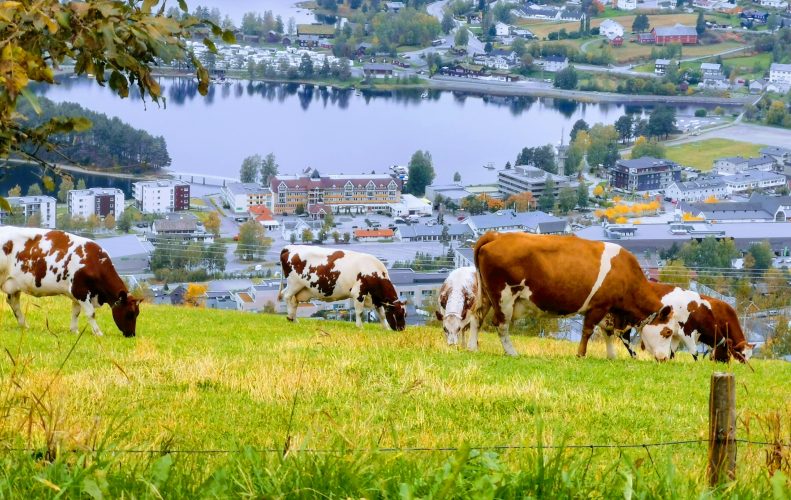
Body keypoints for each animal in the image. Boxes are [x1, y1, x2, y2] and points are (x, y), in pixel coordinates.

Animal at [0, 229, 141, 338]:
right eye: (129, 313)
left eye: (137, 313)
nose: (132, 335)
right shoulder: (81, 291)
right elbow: (91, 313)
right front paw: (98, 333)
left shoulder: (76, 294)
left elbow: (76, 312)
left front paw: (74, 330)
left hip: (14, 284)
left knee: (14, 302)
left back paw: (24, 325)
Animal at [278, 244, 406, 330]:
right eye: (397, 314)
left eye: (405, 314)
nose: (402, 329)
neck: (373, 271)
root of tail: (290, 247)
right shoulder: (358, 293)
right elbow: (359, 312)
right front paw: (360, 326)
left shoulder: (377, 298)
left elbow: (382, 314)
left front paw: (386, 328)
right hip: (294, 283)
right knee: (287, 296)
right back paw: (290, 318)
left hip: (300, 288)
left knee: (294, 301)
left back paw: (295, 320)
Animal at [474, 231, 684, 360]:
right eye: (667, 332)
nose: (665, 358)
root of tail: (496, 235)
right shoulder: (598, 306)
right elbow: (588, 331)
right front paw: (581, 354)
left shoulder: (609, 310)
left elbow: (607, 333)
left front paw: (611, 356)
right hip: (504, 297)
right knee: (501, 325)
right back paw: (511, 352)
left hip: (486, 295)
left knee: (478, 317)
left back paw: (473, 347)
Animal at [600, 282, 756, 364]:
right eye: (741, 354)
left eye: (750, 355)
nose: (744, 365)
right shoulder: (687, 332)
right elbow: (694, 352)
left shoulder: (676, 334)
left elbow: (673, 351)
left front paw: (670, 361)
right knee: (624, 338)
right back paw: (633, 356)